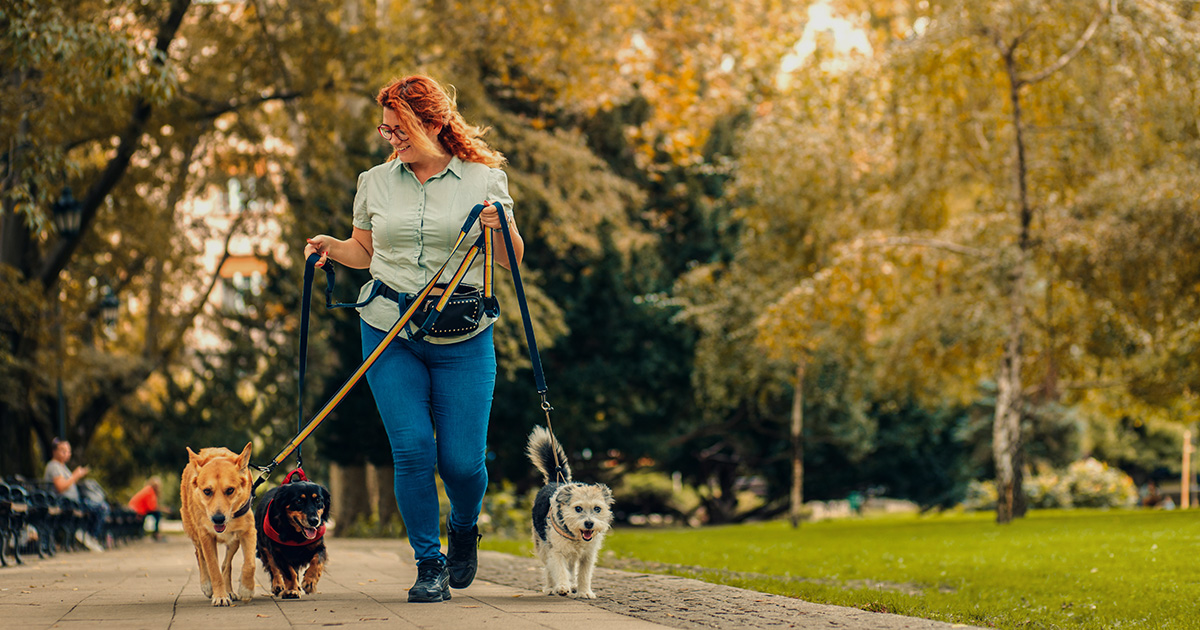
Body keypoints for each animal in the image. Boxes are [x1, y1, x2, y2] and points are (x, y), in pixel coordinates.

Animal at [180, 441, 258, 604]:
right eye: (207, 491)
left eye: (230, 490)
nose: (218, 519)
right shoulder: (206, 536)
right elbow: (213, 568)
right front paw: (220, 596)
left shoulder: (248, 531)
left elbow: (250, 564)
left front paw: (246, 589)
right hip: (194, 531)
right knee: (200, 555)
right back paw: (207, 585)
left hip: (234, 541)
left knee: (226, 564)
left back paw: (230, 591)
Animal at [525, 424, 614, 597]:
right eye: (578, 508)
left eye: (597, 508)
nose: (589, 523)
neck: (576, 536)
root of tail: (555, 481)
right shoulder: (556, 551)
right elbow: (559, 569)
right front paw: (561, 586)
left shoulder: (588, 555)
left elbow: (584, 574)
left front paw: (584, 591)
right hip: (542, 547)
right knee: (549, 568)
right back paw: (551, 587)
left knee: (572, 567)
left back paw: (572, 585)